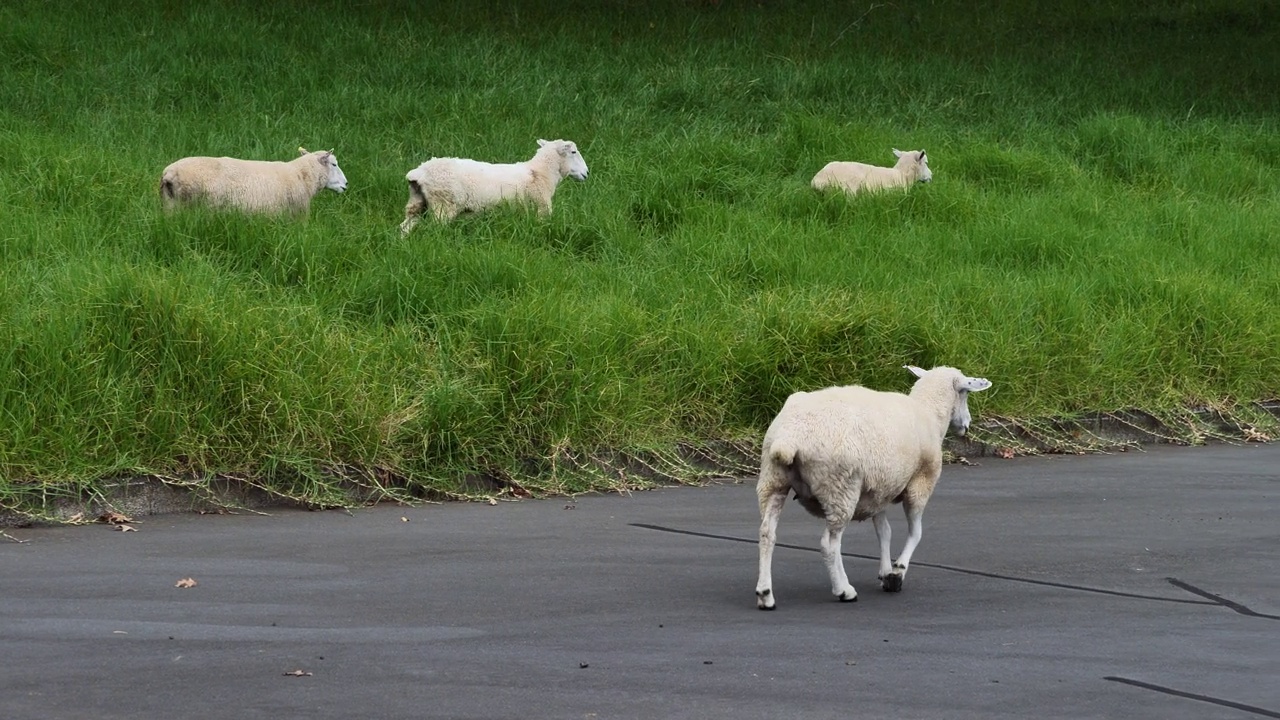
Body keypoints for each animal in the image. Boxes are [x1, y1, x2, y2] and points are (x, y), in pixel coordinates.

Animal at [399, 137, 588, 233]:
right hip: (443, 205)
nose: (587, 173)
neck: (540, 173)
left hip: (417, 203)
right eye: (573, 152)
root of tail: (419, 172)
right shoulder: (541, 209)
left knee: (405, 227)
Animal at [752, 363, 993, 604]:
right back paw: (844, 590)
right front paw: (898, 571)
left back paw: (765, 594)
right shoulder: (921, 483)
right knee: (829, 544)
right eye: (965, 392)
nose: (967, 425)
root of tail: (789, 439)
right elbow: (916, 533)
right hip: (840, 487)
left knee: (767, 533)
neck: (929, 412)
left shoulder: (879, 491)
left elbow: (884, 531)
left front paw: (885, 572)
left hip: (773, 479)